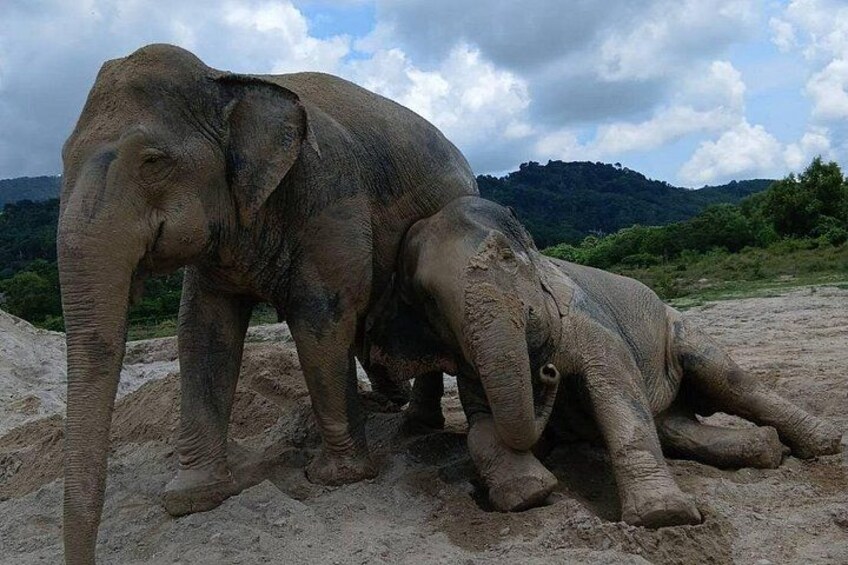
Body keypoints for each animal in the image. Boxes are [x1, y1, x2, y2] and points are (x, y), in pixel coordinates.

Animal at [57, 44, 476, 563]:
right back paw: (394, 407)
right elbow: (202, 330)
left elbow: (321, 318)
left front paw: (337, 478)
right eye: (61, 156)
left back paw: (414, 425)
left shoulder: (330, 196)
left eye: (153, 161)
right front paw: (192, 498)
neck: (228, 78)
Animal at [364, 195, 843, 527]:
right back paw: (767, 449)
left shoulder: (586, 316)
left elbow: (616, 389)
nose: (548, 372)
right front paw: (529, 494)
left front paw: (663, 518)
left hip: (676, 328)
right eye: (427, 298)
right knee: (675, 427)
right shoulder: (469, 357)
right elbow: (483, 424)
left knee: (730, 380)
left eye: (507, 258)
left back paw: (822, 445)